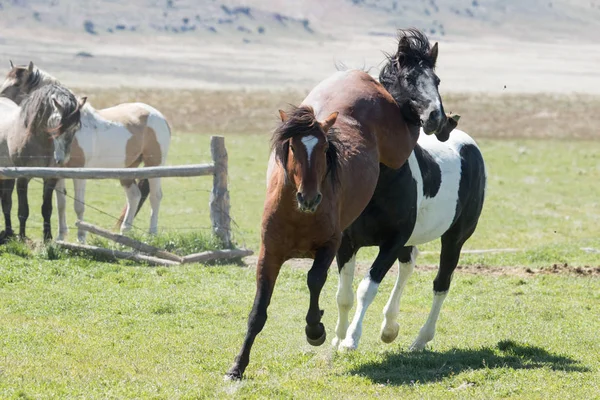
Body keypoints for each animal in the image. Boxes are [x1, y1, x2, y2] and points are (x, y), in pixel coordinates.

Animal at [0, 61, 171, 242]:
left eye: (16, 84)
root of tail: (160, 116)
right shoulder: (58, 173)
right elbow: (61, 204)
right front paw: (60, 237)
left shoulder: (79, 173)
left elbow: (78, 206)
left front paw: (81, 238)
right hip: (127, 169)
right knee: (134, 196)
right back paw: (124, 233)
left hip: (155, 165)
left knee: (155, 196)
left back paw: (152, 234)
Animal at [332, 128, 488, 350]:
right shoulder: (347, 243)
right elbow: (344, 295)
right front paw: (338, 339)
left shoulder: (392, 243)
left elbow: (366, 289)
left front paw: (351, 339)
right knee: (407, 267)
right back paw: (389, 329)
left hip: (454, 240)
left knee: (441, 284)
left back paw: (420, 340)